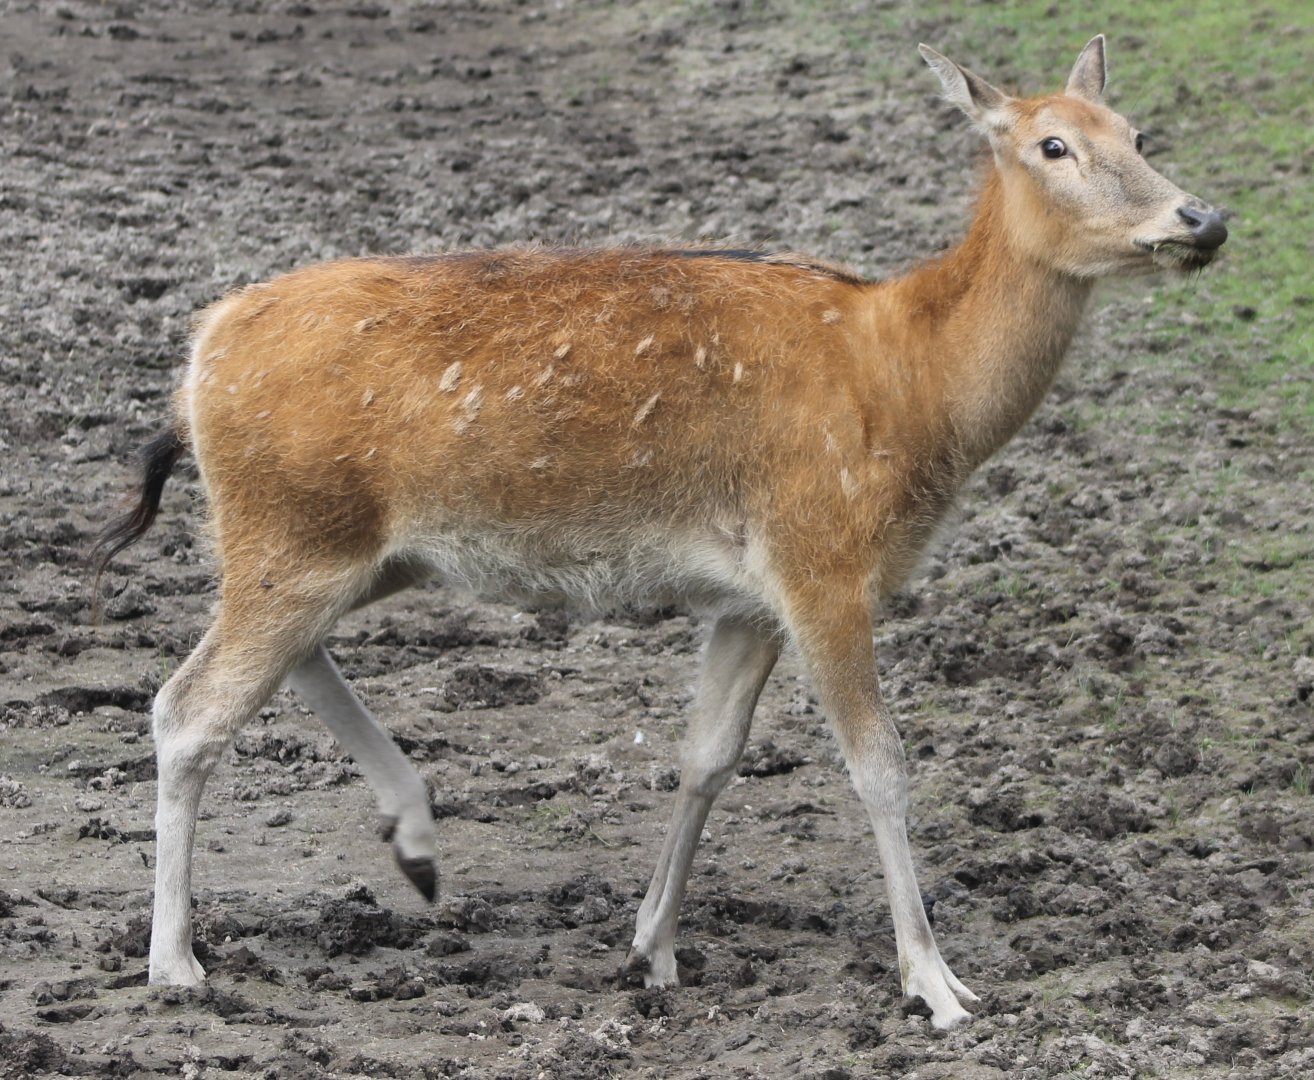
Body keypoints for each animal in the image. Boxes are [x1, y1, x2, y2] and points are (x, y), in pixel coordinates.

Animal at [91, 36, 1225, 1030]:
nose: (1203, 218)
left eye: (1136, 128)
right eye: (1053, 145)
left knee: (277, 665)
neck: (911, 385)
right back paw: (176, 964)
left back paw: (413, 839)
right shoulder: (822, 557)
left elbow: (707, 755)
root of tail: (196, 359)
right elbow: (880, 765)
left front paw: (650, 950)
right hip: (290, 534)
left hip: (345, 548)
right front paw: (938, 987)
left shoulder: (751, 598)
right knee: (186, 708)